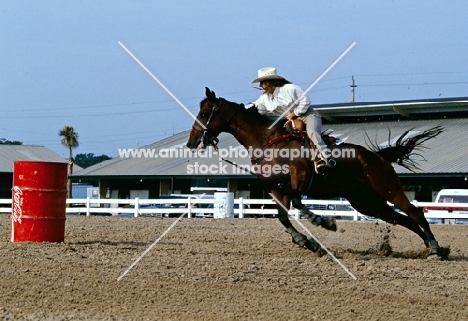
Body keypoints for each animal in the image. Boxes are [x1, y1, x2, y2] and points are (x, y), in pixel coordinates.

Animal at [186, 87, 446, 258]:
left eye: (205, 113)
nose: (192, 141)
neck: (268, 141)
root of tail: (378, 157)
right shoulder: (276, 188)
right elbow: (283, 216)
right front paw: (307, 242)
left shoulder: (299, 178)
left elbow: (299, 203)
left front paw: (324, 222)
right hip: (367, 202)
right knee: (403, 219)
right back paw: (432, 247)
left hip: (389, 189)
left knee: (415, 213)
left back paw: (435, 248)